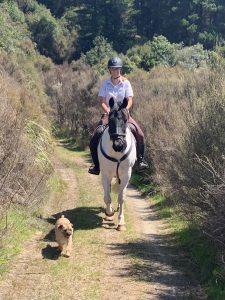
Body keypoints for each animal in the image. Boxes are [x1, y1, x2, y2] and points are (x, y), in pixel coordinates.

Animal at [98, 97, 136, 231]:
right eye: (110, 119)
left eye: (125, 119)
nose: (118, 145)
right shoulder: (105, 174)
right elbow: (107, 197)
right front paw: (109, 213)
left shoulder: (126, 175)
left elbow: (122, 197)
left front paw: (121, 223)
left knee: (120, 192)